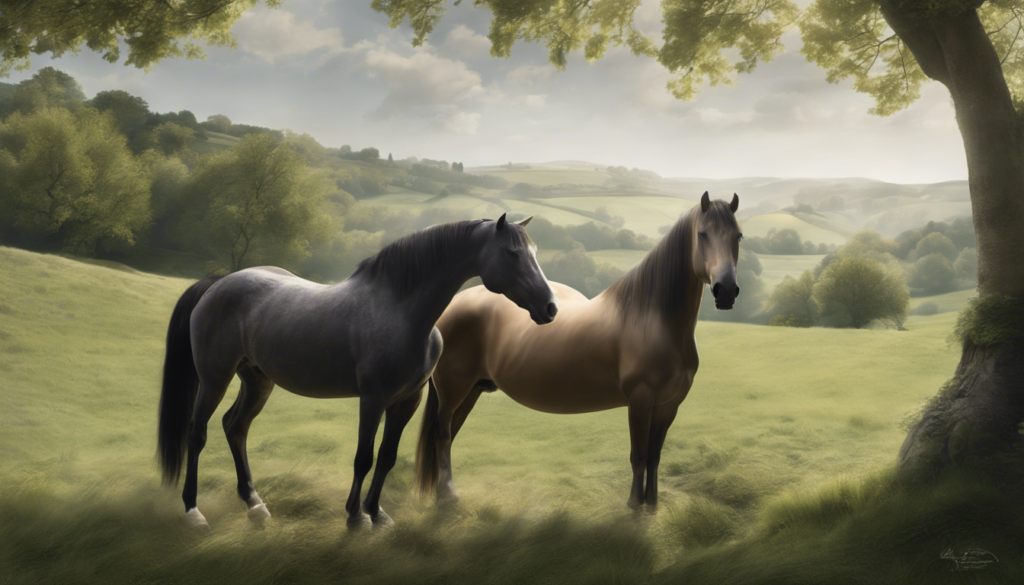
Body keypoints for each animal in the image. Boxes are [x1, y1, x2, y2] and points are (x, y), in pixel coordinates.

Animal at [157, 215, 558, 529]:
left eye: (534, 253)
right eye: (512, 253)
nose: (550, 307)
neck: (401, 312)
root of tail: (216, 284)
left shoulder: (406, 401)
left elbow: (387, 456)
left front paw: (377, 513)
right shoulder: (373, 399)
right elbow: (364, 457)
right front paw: (355, 517)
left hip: (257, 380)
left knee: (235, 427)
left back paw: (255, 505)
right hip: (215, 378)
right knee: (197, 435)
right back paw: (193, 511)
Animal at [415, 193, 741, 510]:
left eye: (738, 235)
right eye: (702, 234)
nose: (725, 290)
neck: (651, 318)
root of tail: (453, 305)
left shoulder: (668, 405)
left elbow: (654, 456)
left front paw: (652, 505)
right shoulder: (640, 401)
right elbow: (638, 455)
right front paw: (635, 506)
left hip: (472, 390)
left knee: (449, 434)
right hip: (453, 392)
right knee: (443, 434)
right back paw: (447, 497)